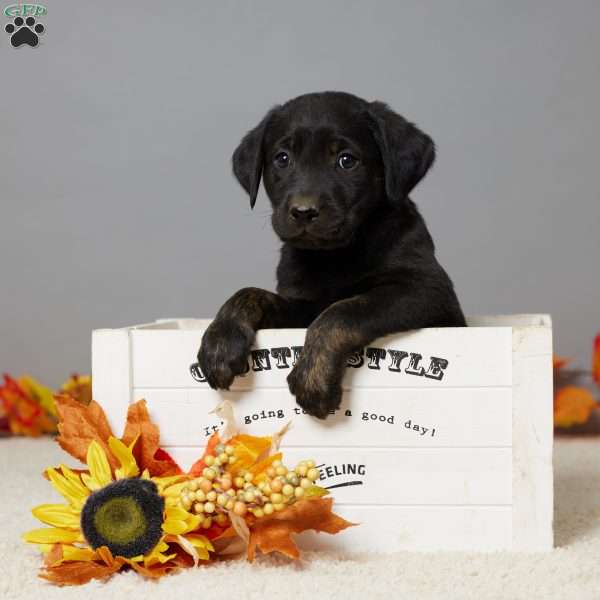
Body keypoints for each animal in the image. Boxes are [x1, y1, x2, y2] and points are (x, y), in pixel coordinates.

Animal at [199, 92, 466, 418]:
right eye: (282, 159)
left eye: (346, 161)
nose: (303, 211)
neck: (333, 257)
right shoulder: (301, 305)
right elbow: (250, 293)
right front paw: (220, 340)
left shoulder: (426, 290)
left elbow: (344, 310)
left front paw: (313, 376)